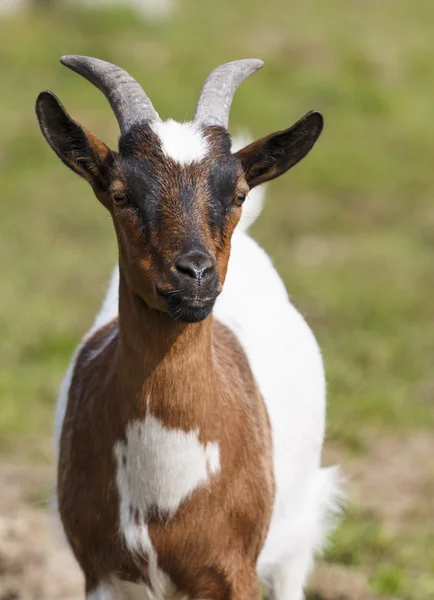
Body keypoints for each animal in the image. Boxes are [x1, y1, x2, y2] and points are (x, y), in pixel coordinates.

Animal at [36, 57, 342, 600]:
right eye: (120, 194)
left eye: (237, 193)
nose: (196, 273)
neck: (164, 497)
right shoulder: (100, 573)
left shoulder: (234, 572)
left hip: (297, 531)